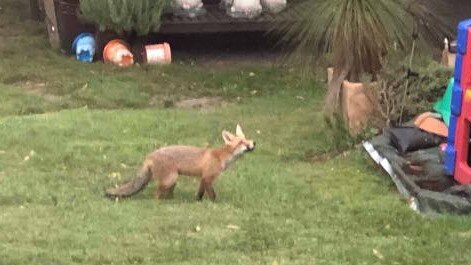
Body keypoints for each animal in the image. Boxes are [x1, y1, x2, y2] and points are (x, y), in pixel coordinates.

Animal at [105, 124, 256, 200]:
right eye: (242, 142)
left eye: (247, 139)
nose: (253, 143)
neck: (220, 156)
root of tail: (149, 155)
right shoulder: (208, 177)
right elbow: (212, 195)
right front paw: (214, 204)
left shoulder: (202, 178)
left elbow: (200, 194)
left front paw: (198, 202)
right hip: (170, 179)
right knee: (156, 194)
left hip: (172, 180)